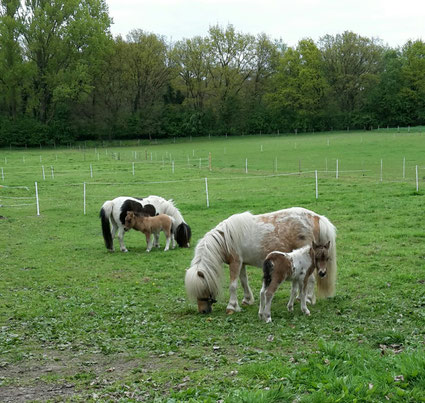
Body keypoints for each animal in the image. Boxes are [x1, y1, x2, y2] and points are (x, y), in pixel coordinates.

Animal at [184, 208, 336, 316]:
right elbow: (244, 282)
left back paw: (308, 299)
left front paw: (231, 306)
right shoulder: (242, 264)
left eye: (203, 288)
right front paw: (247, 300)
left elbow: (233, 286)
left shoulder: (235, 263)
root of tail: (317, 217)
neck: (226, 239)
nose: (203, 311)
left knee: (310, 280)